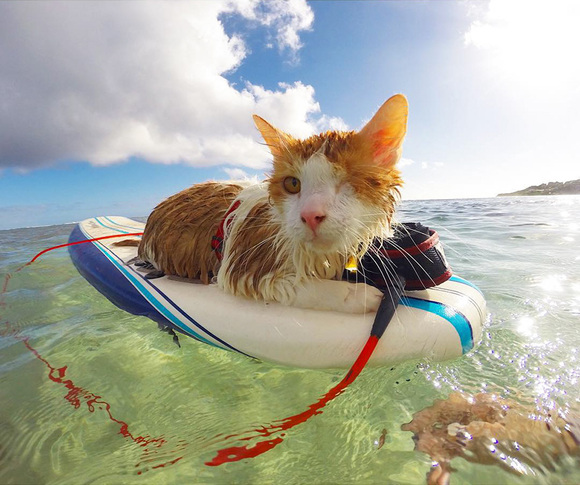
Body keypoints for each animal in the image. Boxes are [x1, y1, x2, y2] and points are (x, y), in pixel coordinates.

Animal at [136, 93, 408, 314]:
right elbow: (303, 287)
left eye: (347, 180)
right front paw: (358, 295)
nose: (310, 216)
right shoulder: (243, 270)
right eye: (293, 184)